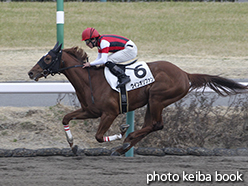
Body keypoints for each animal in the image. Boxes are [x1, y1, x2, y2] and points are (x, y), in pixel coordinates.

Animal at [28, 42, 247, 155]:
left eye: (48, 58)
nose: (31, 73)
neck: (90, 80)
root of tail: (185, 74)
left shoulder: (109, 113)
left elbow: (98, 136)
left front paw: (121, 131)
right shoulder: (90, 111)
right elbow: (65, 118)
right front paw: (72, 144)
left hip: (158, 97)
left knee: (156, 125)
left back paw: (127, 139)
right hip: (152, 102)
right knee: (150, 125)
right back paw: (124, 146)